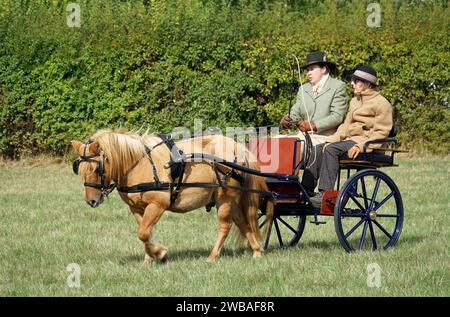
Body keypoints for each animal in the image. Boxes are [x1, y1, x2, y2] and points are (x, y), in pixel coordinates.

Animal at [72, 129, 272, 264]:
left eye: (96, 168)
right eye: (79, 168)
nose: (91, 201)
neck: (139, 163)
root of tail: (238, 147)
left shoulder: (158, 204)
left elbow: (143, 233)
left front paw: (160, 254)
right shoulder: (136, 208)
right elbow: (145, 232)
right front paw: (149, 259)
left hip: (225, 198)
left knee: (225, 226)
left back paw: (213, 256)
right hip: (229, 198)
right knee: (243, 222)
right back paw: (257, 250)